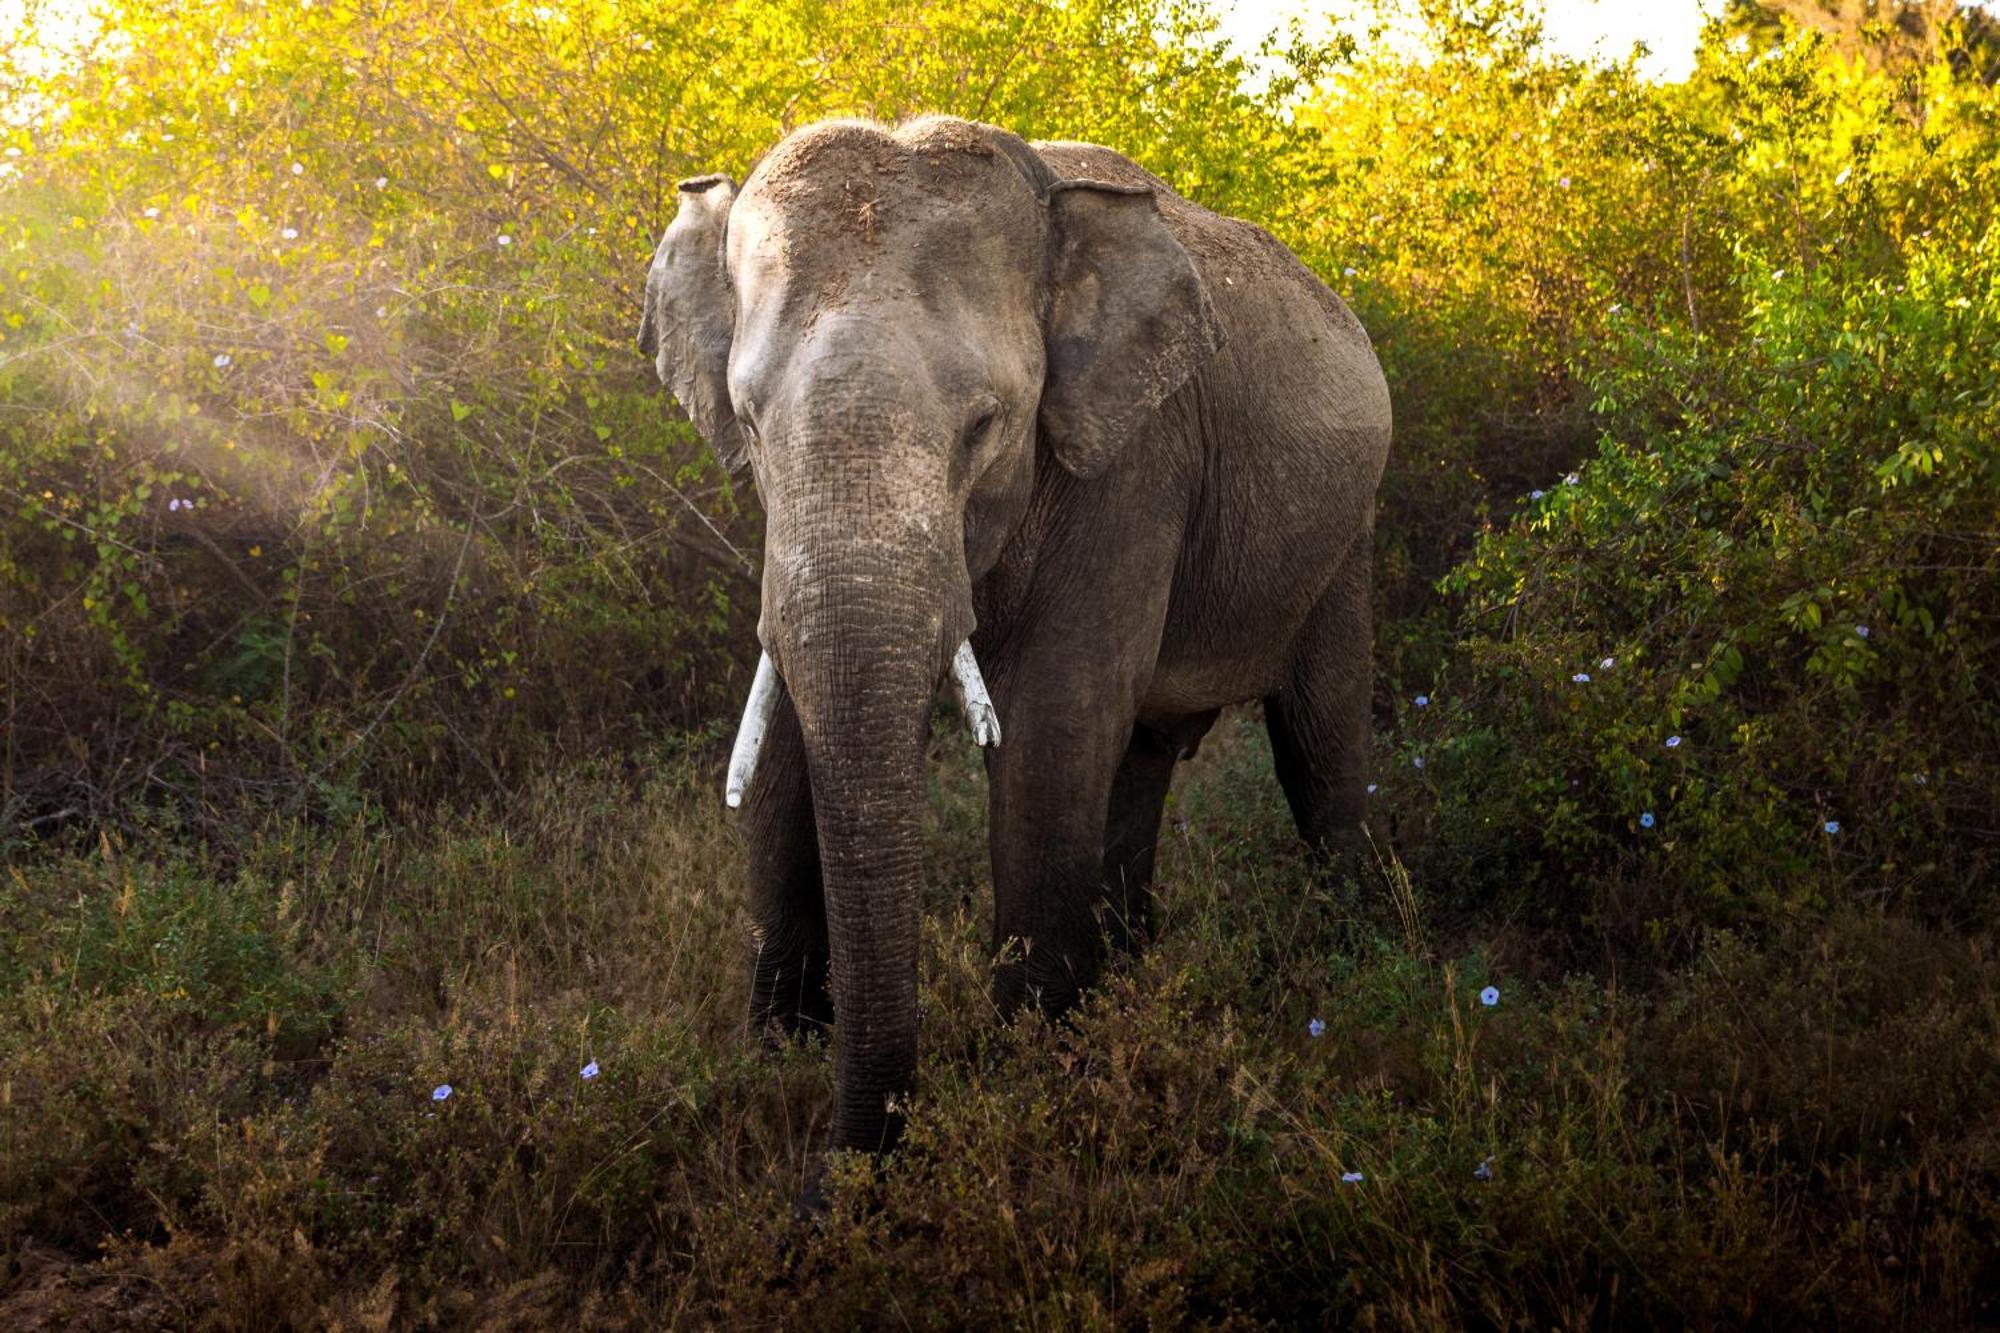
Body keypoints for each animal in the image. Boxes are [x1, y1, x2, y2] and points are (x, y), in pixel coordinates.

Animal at [640, 114, 1392, 1152]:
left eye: (985, 425)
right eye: (748, 424)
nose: (853, 1161)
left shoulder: (1134, 463)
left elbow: (1051, 729)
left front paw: (1029, 1080)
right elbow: (789, 735)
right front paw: (777, 1056)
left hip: (1344, 534)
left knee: (1318, 741)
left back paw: (1350, 962)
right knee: (1142, 757)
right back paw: (1129, 968)